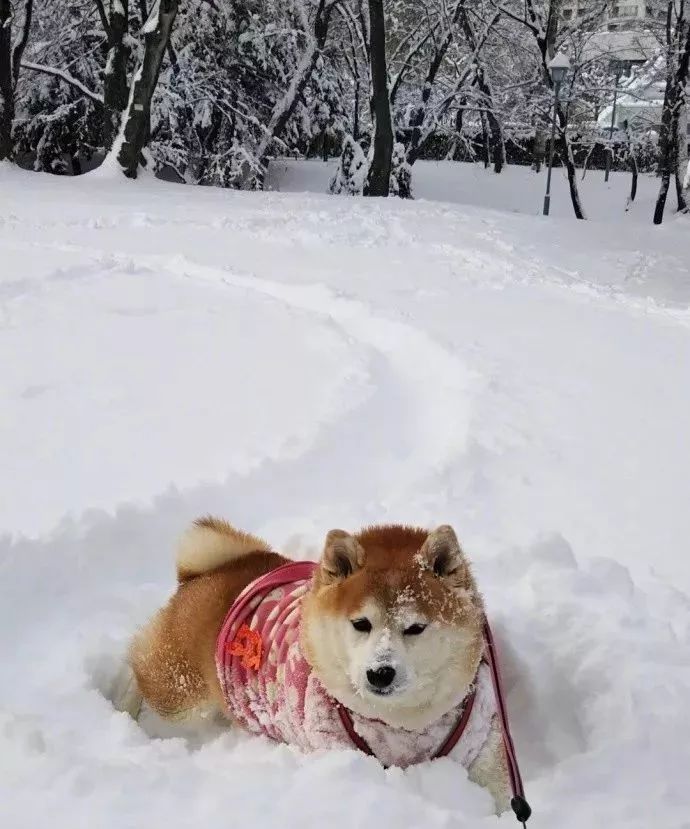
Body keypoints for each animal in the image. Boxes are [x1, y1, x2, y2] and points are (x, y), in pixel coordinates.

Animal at [126, 516, 508, 808]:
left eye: (415, 627)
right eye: (361, 623)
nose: (380, 673)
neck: (402, 725)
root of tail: (209, 572)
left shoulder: (485, 742)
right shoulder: (332, 745)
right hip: (178, 691)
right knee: (138, 668)